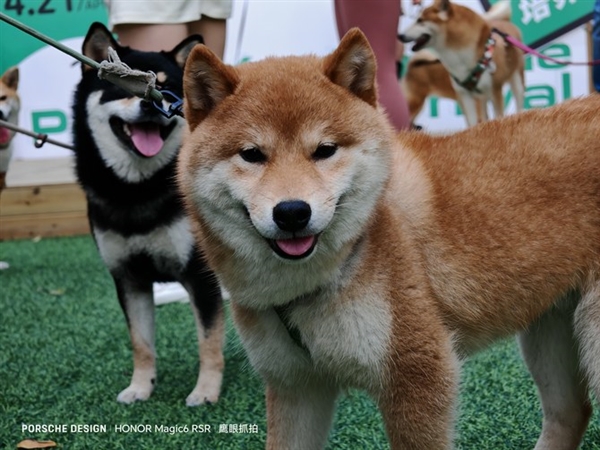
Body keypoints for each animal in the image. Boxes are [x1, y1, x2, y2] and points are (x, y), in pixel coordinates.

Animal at [71, 22, 225, 406]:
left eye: (167, 88)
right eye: (118, 85)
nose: (150, 103)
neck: (138, 190)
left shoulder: (200, 275)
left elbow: (209, 340)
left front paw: (206, 391)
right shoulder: (129, 279)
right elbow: (140, 343)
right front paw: (140, 386)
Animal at [179, 28, 600, 450]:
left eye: (325, 150)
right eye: (251, 154)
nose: (293, 212)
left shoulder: (418, 375)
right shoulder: (297, 386)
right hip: (551, 327)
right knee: (570, 412)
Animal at [398, 0, 524, 128]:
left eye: (420, 20)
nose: (400, 36)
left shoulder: (495, 91)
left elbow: (497, 117)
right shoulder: (465, 95)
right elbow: (473, 123)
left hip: (516, 81)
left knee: (519, 104)